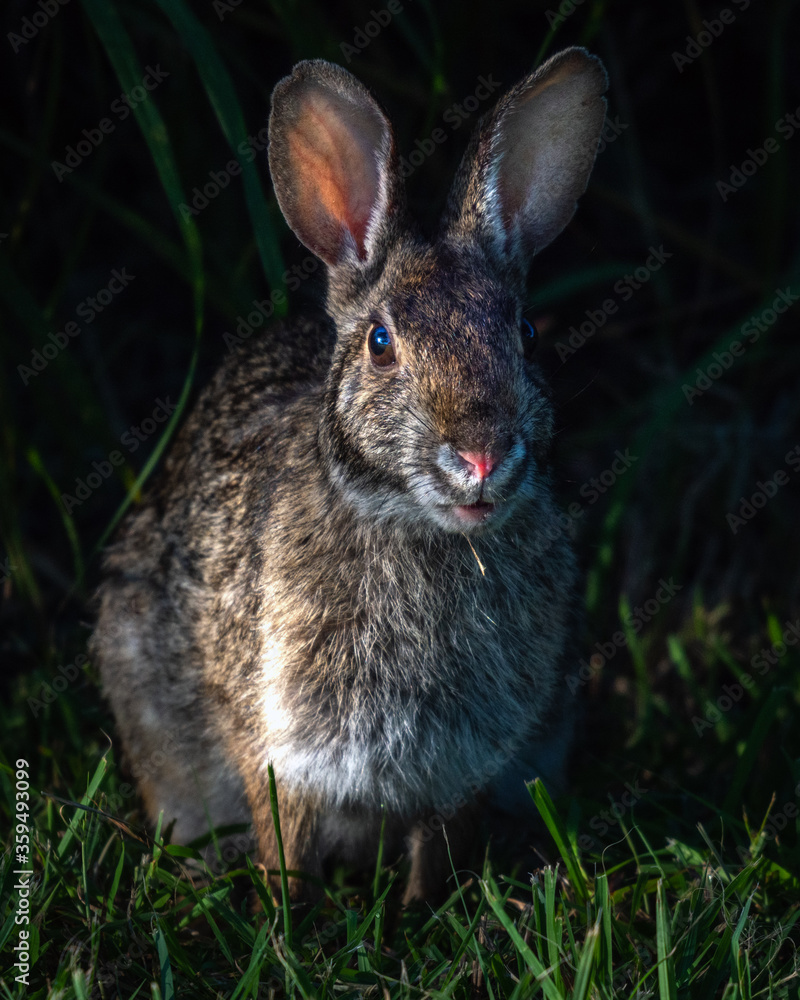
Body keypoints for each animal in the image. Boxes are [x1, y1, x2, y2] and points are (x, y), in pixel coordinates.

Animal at [91, 46, 608, 905]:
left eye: (526, 333)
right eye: (380, 342)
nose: (481, 453)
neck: (415, 527)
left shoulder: (465, 764)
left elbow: (436, 845)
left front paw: (422, 909)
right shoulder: (284, 743)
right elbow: (288, 836)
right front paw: (287, 911)